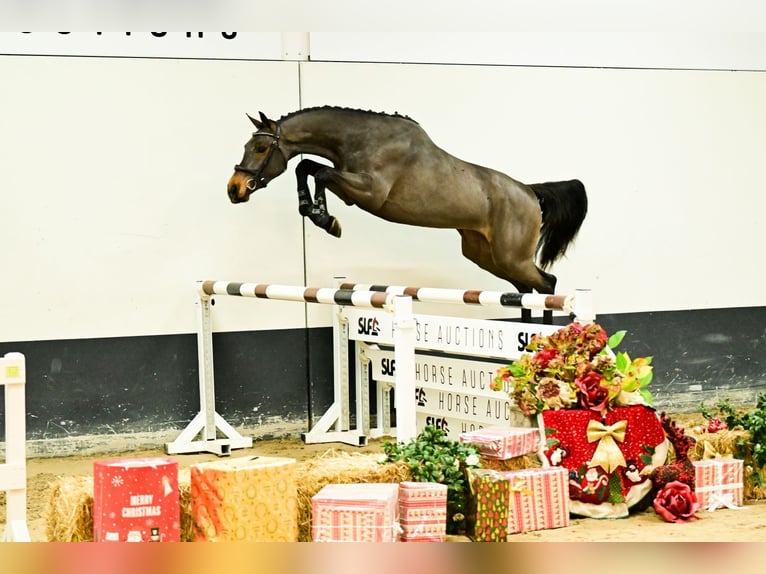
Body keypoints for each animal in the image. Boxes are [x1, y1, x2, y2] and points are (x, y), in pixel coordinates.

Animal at [226, 108, 588, 324]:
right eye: (246, 146)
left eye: (260, 149)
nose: (235, 189)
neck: (361, 138)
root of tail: (530, 192)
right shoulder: (350, 188)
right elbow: (307, 167)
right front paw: (316, 213)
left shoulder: (369, 192)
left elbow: (320, 172)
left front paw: (326, 220)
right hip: (487, 255)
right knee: (525, 290)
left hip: (510, 256)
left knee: (547, 284)